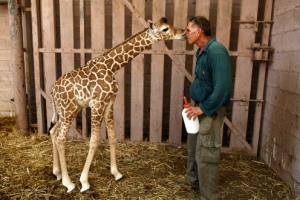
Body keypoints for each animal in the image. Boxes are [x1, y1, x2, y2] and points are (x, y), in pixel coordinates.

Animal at [48, 18, 185, 193]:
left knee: (53, 131)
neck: (112, 67)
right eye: (165, 29)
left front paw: (116, 173)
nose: (183, 32)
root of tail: (52, 91)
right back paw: (68, 182)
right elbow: (94, 141)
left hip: (67, 110)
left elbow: (113, 136)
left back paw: (57, 173)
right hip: (68, 110)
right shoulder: (97, 104)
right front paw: (84, 182)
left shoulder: (109, 103)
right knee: (60, 138)